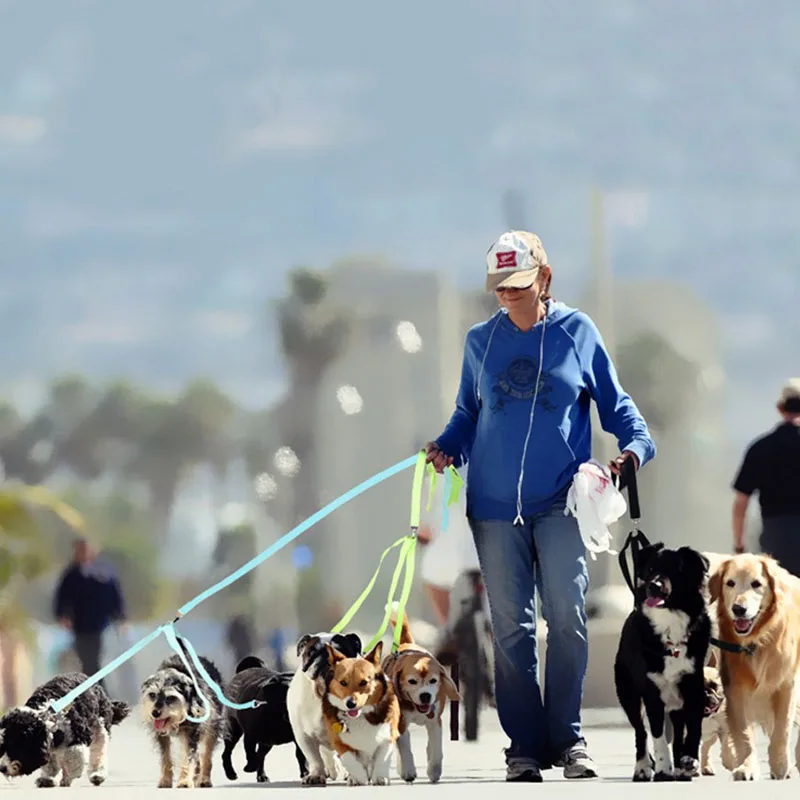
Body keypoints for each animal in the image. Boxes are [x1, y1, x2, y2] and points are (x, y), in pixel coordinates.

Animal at [140, 648, 225, 788]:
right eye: (152, 695)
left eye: (171, 698)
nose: (155, 713)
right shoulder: (162, 735)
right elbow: (166, 757)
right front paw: (165, 780)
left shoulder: (191, 731)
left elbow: (188, 756)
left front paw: (184, 781)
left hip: (212, 726)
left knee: (206, 754)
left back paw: (204, 779)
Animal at [616, 544, 708, 780]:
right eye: (649, 570)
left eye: (675, 570)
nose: (653, 585)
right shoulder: (651, 691)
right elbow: (657, 734)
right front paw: (663, 768)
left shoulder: (693, 687)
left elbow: (693, 729)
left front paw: (689, 760)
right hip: (628, 693)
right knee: (640, 731)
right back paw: (642, 768)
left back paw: (682, 767)